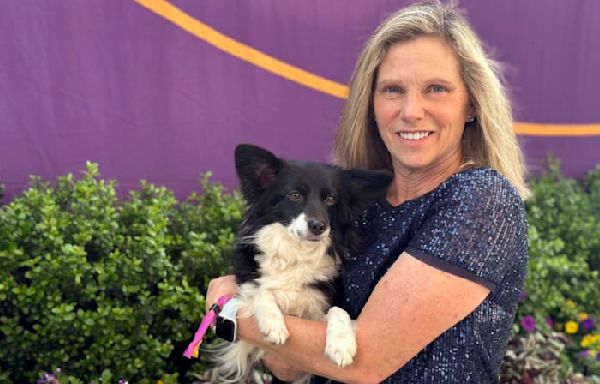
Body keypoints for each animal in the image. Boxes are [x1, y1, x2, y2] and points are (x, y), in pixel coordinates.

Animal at [212, 146, 394, 382]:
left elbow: (338, 310)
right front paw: (273, 324)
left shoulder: (320, 308)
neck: (297, 252)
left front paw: (342, 344)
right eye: (295, 195)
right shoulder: (246, 286)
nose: (318, 226)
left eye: (331, 199)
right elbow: (261, 292)